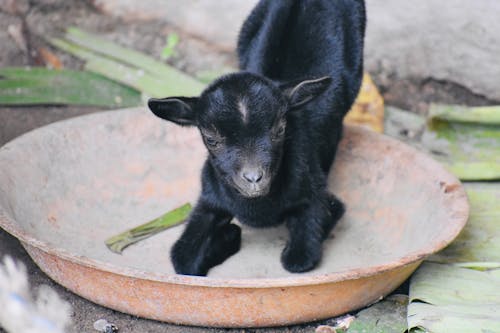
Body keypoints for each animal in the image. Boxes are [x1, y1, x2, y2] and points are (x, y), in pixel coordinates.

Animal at [146, 0, 366, 274]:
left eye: (280, 129)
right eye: (211, 139)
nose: (253, 178)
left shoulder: (318, 198)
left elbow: (298, 259)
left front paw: (229, 234)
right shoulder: (209, 198)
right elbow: (182, 258)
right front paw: (227, 235)